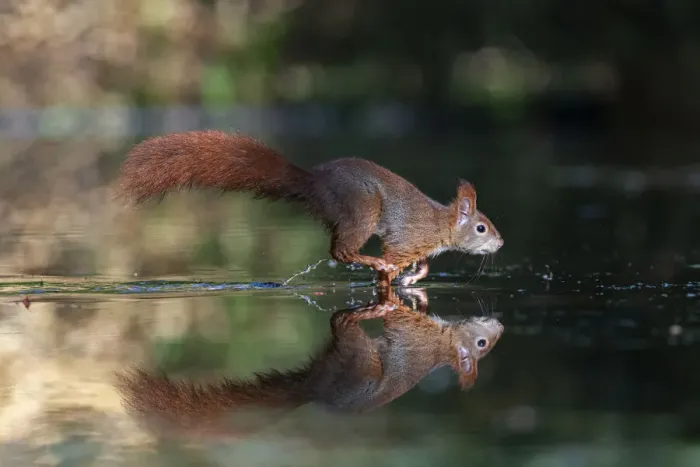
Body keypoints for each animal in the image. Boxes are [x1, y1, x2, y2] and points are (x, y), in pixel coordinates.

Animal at [115, 130, 504, 286]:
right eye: (481, 227)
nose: (501, 243)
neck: (441, 224)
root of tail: (314, 182)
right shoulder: (407, 238)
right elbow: (396, 254)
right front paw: (391, 274)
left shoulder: (419, 247)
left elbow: (424, 265)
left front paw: (412, 277)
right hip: (363, 209)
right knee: (340, 251)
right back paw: (374, 262)